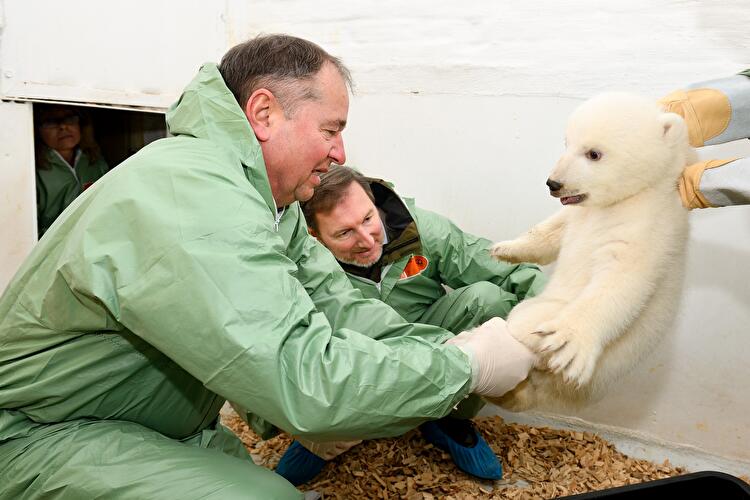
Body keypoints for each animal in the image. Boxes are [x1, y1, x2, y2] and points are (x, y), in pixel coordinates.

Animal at [488, 92, 695, 411]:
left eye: (593, 153)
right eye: (566, 143)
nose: (553, 183)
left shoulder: (646, 227)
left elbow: (620, 280)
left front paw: (568, 341)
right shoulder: (579, 213)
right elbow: (553, 230)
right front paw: (505, 249)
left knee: (529, 321)